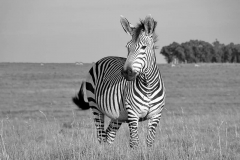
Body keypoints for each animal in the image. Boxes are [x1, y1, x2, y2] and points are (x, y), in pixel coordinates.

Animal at [72, 15, 165, 148]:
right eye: (127, 47)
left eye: (144, 47)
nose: (126, 72)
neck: (148, 87)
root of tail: (105, 58)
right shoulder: (132, 114)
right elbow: (134, 141)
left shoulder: (156, 115)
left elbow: (150, 142)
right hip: (95, 106)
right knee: (101, 135)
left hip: (117, 116)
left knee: (109, 135)